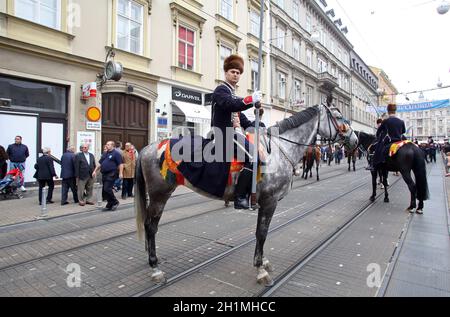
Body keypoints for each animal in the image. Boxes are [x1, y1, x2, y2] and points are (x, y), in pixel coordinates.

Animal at [134, 104, 358, 286]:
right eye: (339, 116)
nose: (355, 139)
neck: (279, 151)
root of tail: (147, 148)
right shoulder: (269, 202)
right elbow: (262, 233)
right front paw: (260, 270)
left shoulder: (265, 202)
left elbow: (261, 233)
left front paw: (263, 262)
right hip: (159, 195)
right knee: (151, 227)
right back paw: (155, 268)